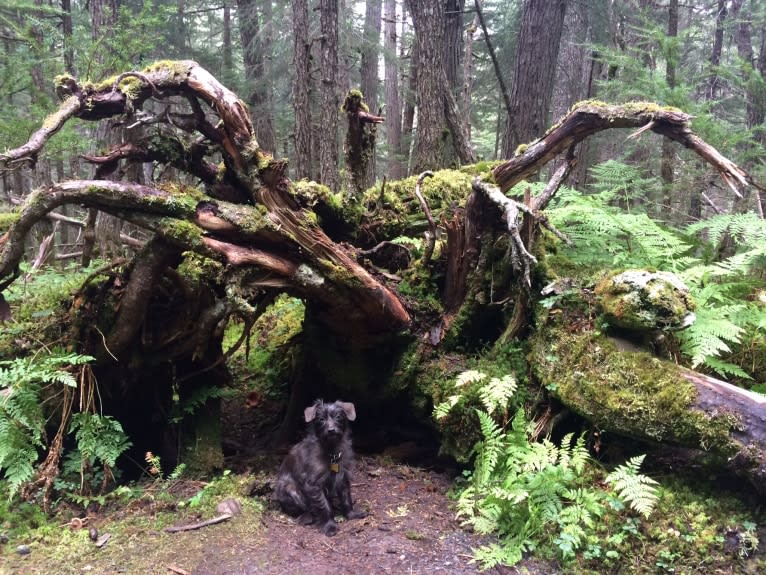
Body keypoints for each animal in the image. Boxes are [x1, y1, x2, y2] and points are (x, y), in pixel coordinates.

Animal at [276, 400, 366, 536]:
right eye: (321, 419)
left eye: (338, 417)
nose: (331, 430)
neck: (332, 451)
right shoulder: (314, 484)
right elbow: (324, 506)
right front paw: (330, 525)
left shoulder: (343, 478)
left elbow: (346, 498)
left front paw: (351, 514)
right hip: (290, 488)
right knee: (304, 509)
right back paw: (308, 517)